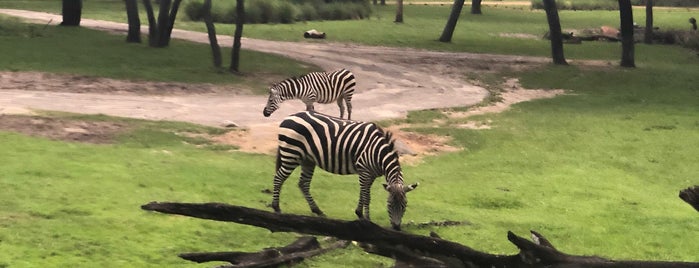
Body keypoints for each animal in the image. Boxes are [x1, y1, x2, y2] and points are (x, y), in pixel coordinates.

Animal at [270, 110, 418, 230]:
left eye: (405, 205)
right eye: (389, 205)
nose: (396, 228)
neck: (378, 152)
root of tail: (288, 117)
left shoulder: (370, 174)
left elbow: (363, 193)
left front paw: (360, 214)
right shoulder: (364, 170)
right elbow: (367, 196)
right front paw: (367, 219)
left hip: (308, 160)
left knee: (303, 184)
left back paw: (318, 211)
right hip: (291, 154)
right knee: (278, 178)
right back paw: (276, 207)